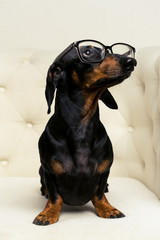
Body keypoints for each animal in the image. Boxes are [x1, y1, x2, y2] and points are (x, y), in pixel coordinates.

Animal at [33, 39, 137, 225]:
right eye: (87, 52)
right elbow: (55, 197)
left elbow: (99, 194)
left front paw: (107, 208)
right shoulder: (48, 171)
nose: (131, 62)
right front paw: (48, 213)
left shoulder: (105, 171)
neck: (81, 126)